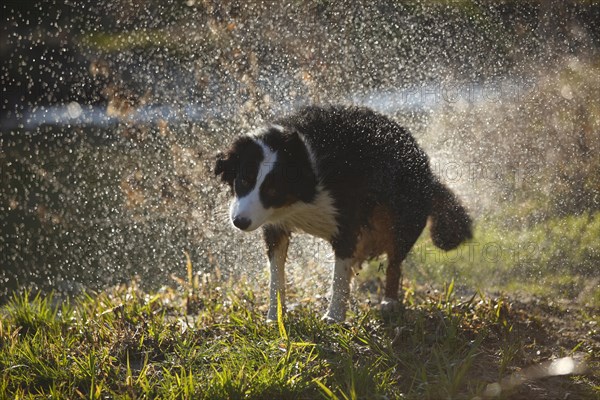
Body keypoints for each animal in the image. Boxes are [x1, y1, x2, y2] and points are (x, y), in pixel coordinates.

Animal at [213, 105, 472, 322]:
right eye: (244, 180)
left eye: (273, 191)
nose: (240, 222)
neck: (306, 163)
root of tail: (427, 169)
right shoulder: (275, 226)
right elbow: (276, 275)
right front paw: (274, 316)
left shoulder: (347, 219)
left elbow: (340, 275)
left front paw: (334, 317)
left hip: (399, 216)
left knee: (394, 262)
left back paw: (389, 302)